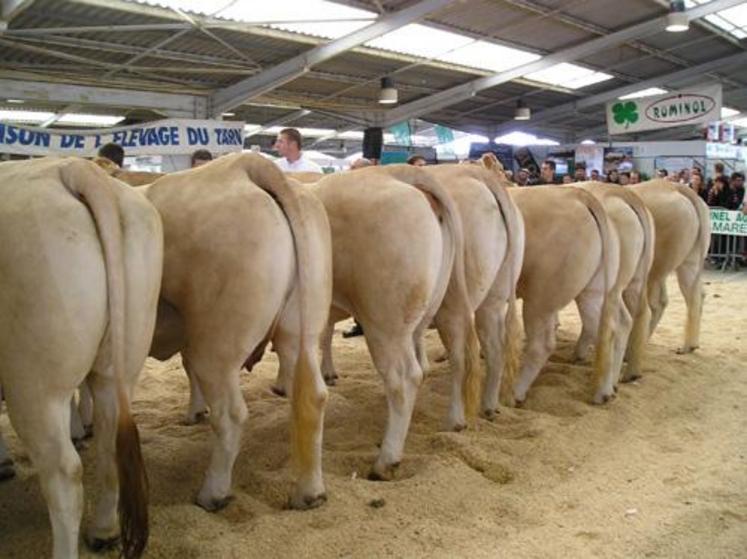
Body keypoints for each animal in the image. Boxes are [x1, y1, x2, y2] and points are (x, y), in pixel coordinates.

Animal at [0, 158, 162, 559]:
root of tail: (73, 168)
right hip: (122, 362)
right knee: (108, 441)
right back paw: (104, 531)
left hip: (34, 384)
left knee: (63, 474)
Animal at [140, 153, 330, 512]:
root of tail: (244, 164)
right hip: (301, 330)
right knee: (312, 397)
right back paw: (309, 493)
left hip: (215, 344)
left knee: (230, 415)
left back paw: (212, 493)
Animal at [636, 179, 712, 354]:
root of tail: (677, 187)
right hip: (689, 260)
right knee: (695, 295)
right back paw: (689, 346)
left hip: (657, 264)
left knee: (656, 304)